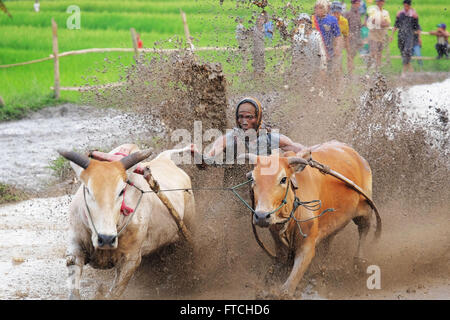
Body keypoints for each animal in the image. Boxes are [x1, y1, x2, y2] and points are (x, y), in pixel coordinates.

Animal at [58, 144, 195, 298]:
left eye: (121, 191)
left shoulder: (131, 260)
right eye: (88, 190)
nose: (106, 239)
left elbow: (114, 294)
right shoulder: (75, 250)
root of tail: (165, 159)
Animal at [244, 141, 382, 296]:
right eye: (253, 179)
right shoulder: (278, 244)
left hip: (365, 210)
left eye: (283, 179)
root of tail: (357, 156)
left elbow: (288, 287)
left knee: (364, 230)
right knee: (328, 242)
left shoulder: (307, 247)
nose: (262, 216)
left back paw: (358, 262)